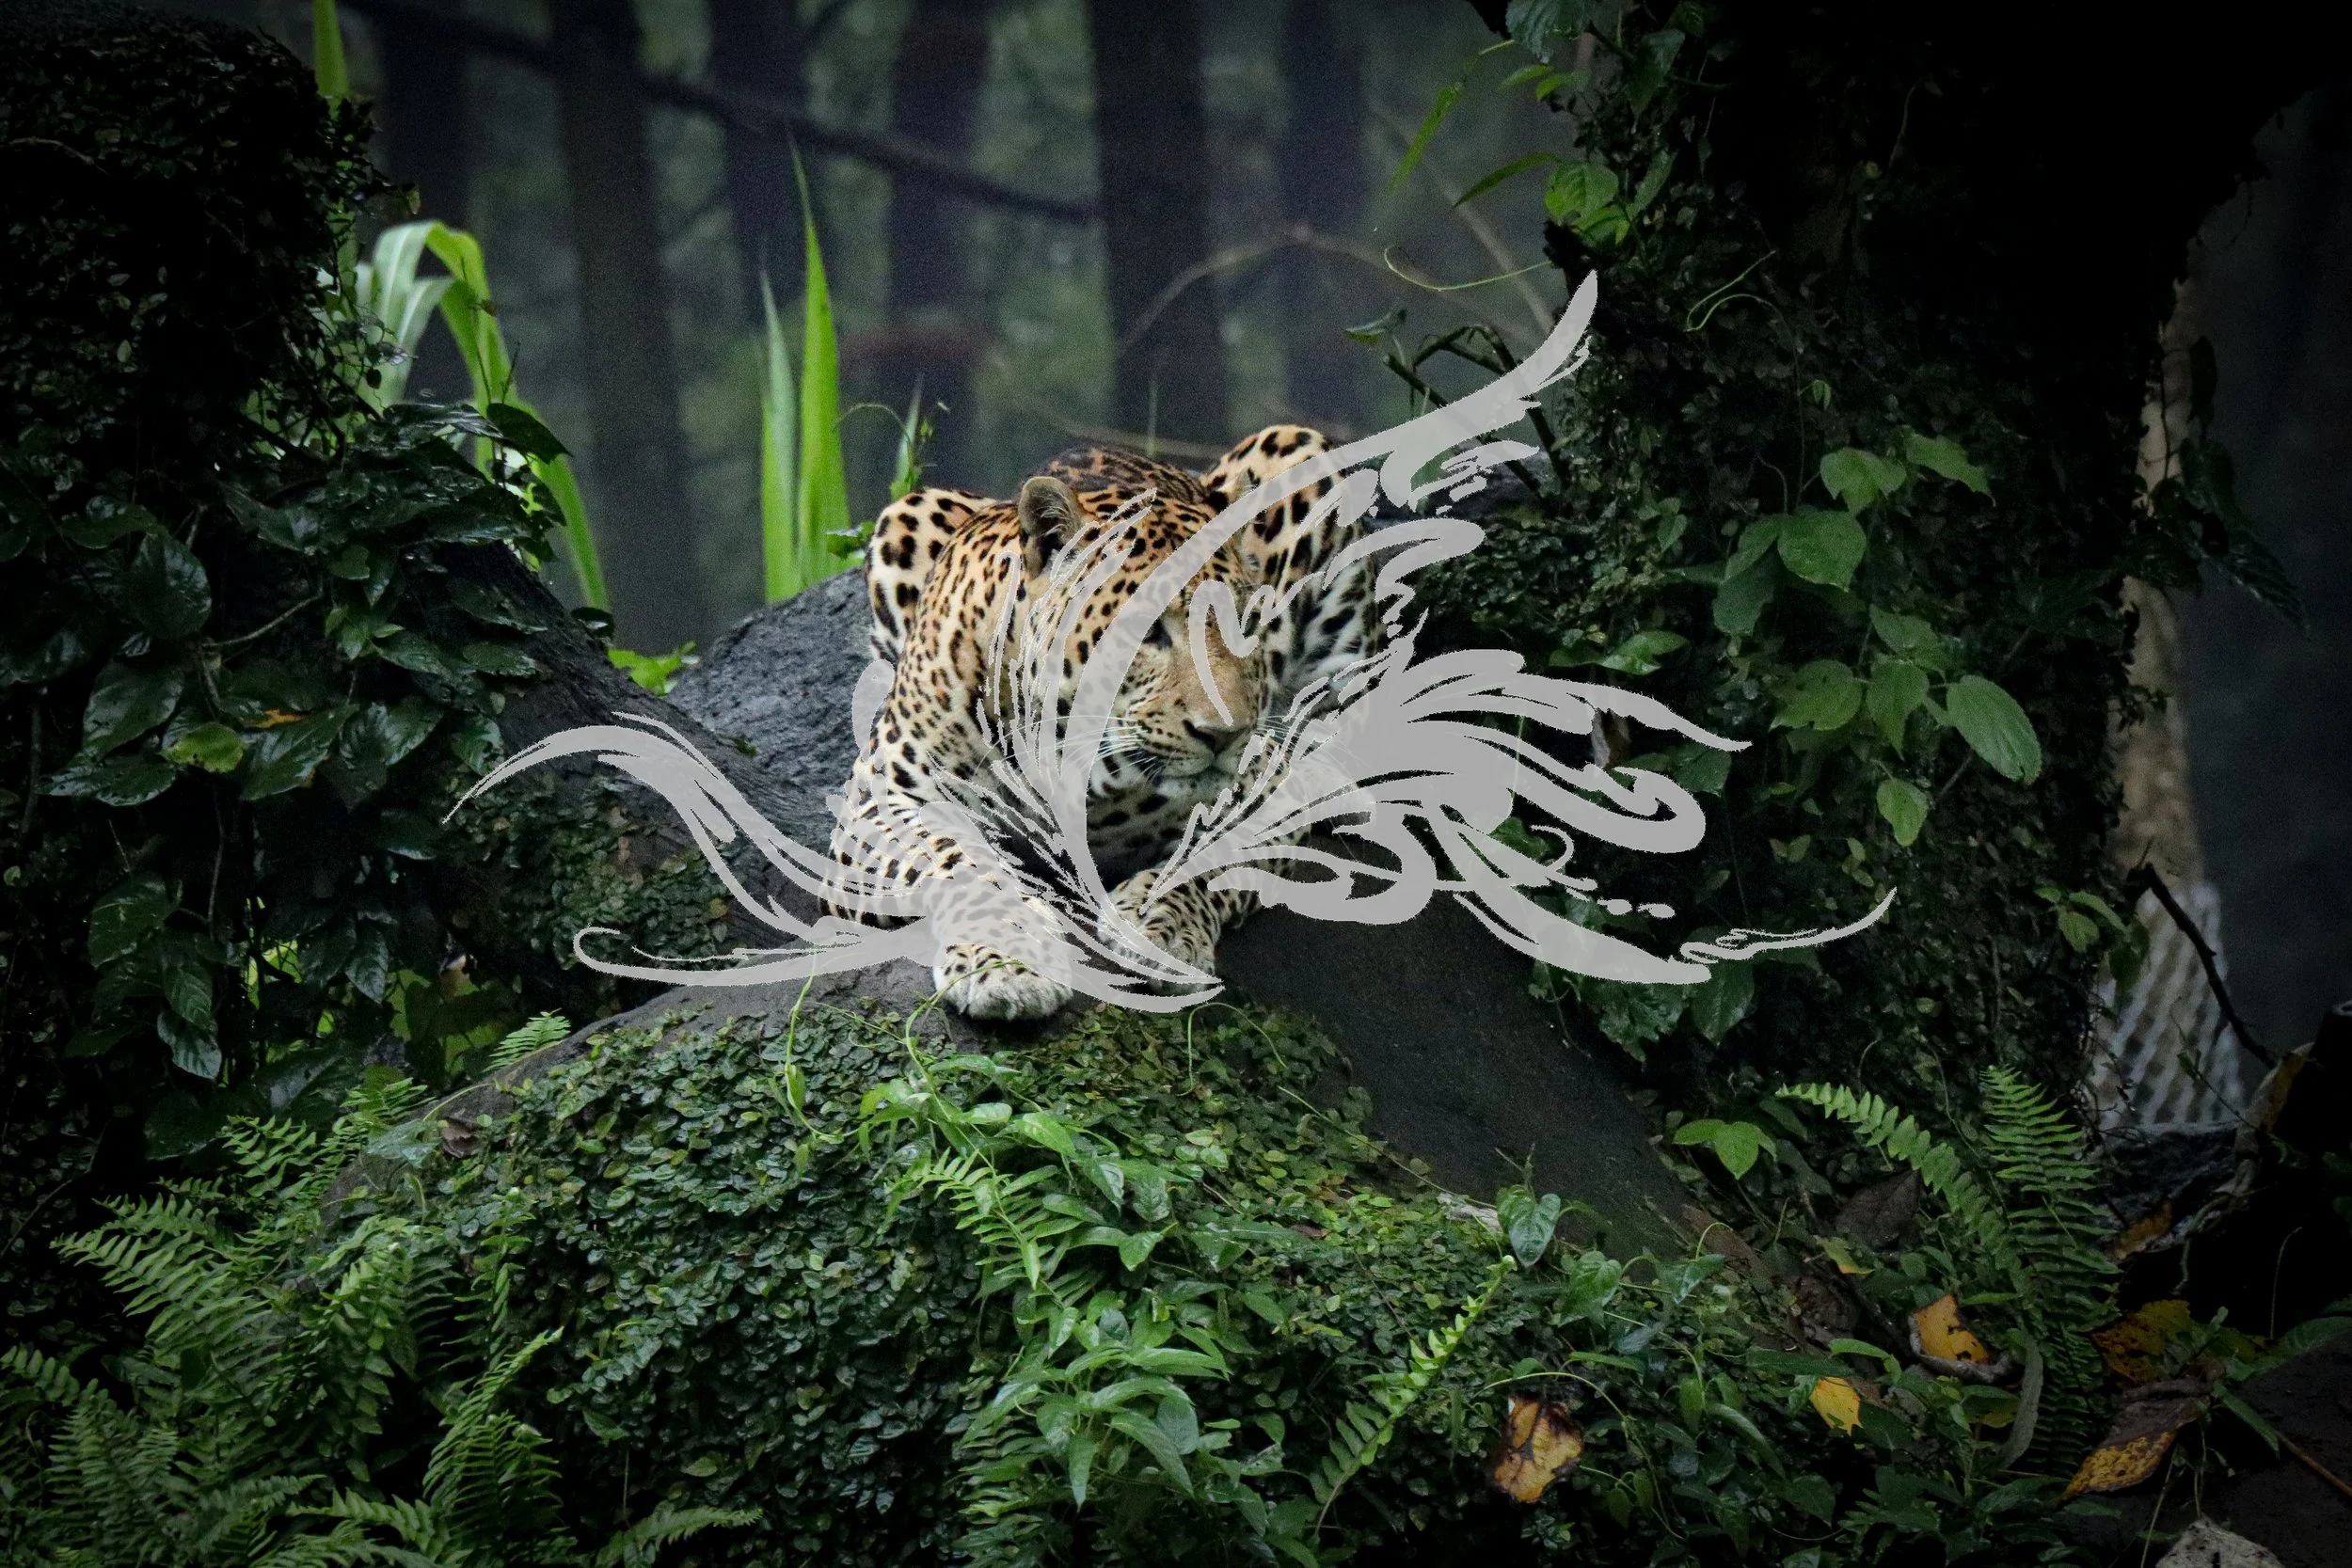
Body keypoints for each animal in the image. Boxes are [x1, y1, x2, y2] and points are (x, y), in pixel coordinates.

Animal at [831, 424, 1384, 1020]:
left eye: (1244, 624)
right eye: (1148, 630)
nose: (1225, 734)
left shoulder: (1265, 786)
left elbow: (1208, 857)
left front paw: (1161, 929)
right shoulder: (889, 797)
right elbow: (964, 864)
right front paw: (1007, 961)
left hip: (1300, 449)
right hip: (908, 511)